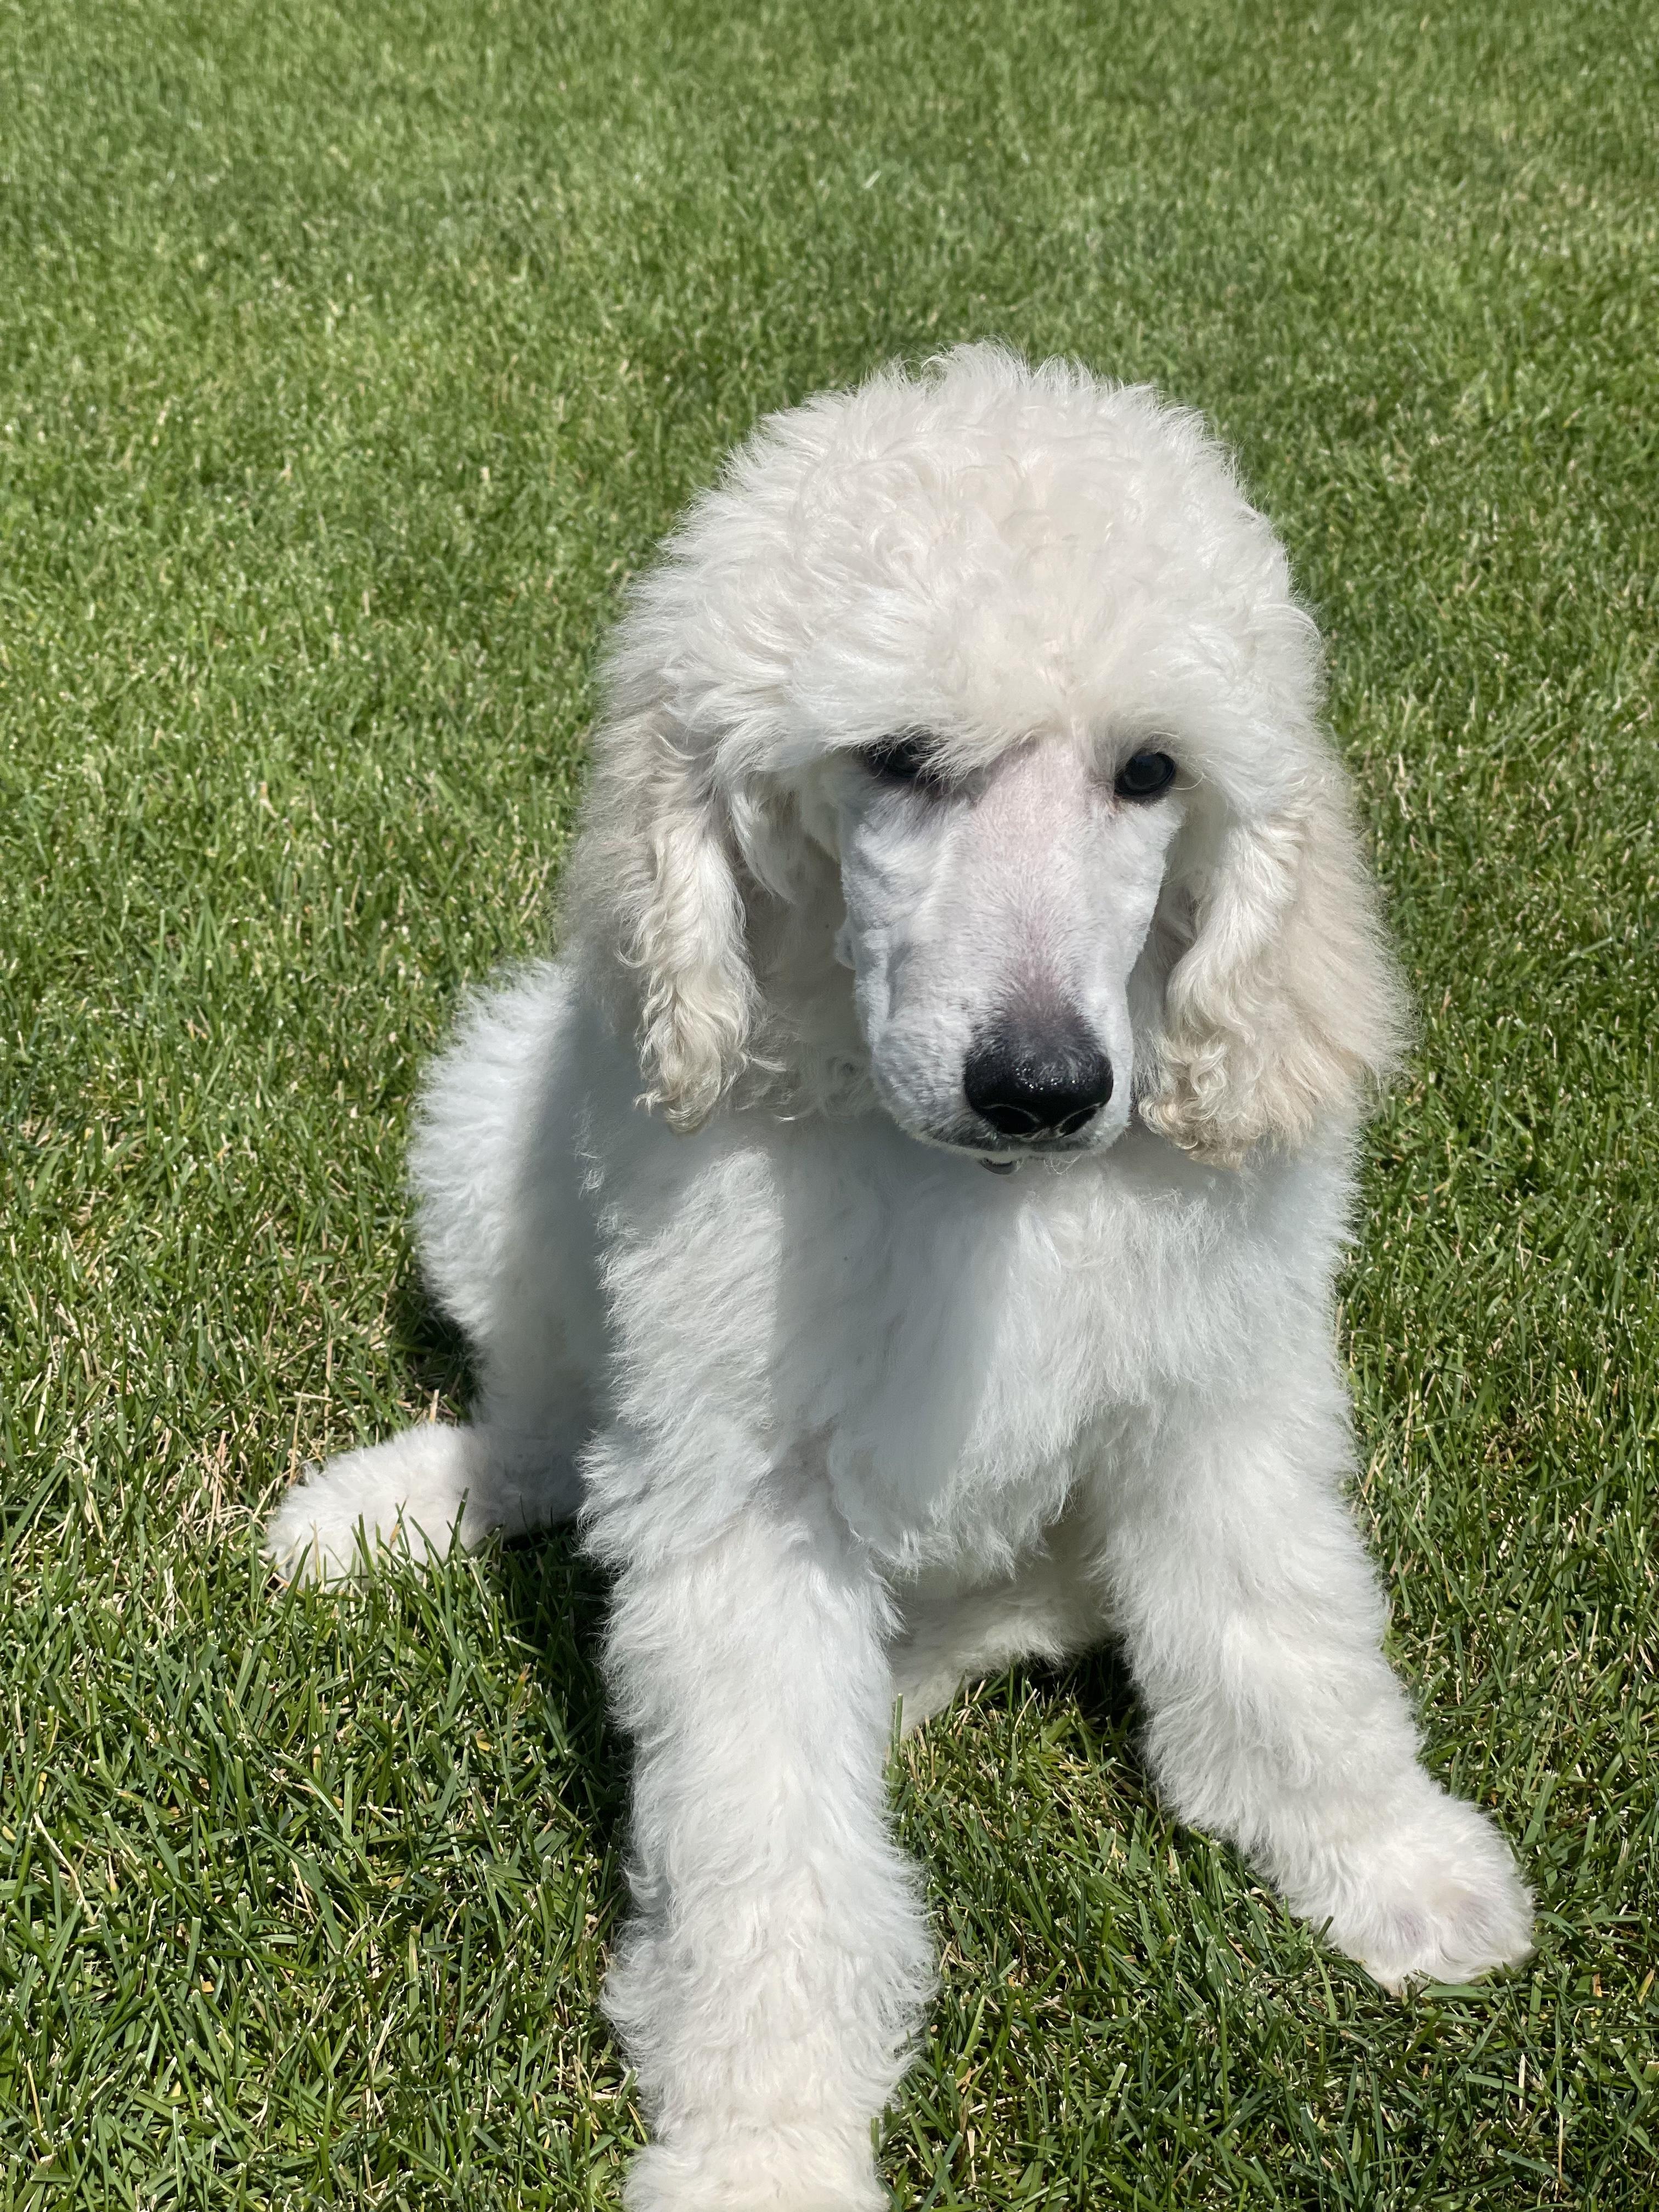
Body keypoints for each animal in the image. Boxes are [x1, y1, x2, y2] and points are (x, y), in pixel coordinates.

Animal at [267, 346, 1533, 2211]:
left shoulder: (1222, 1399)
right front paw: (767, 2144)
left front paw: (1389, 1859)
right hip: (503, 1121)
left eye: (1151, 773)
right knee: (549, 1413)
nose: (1047, 1086)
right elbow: (764, 1851)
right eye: (899, 762)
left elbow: (1285, 1637)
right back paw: (404, 1503)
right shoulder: (741, 1506)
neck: (979, 1195)